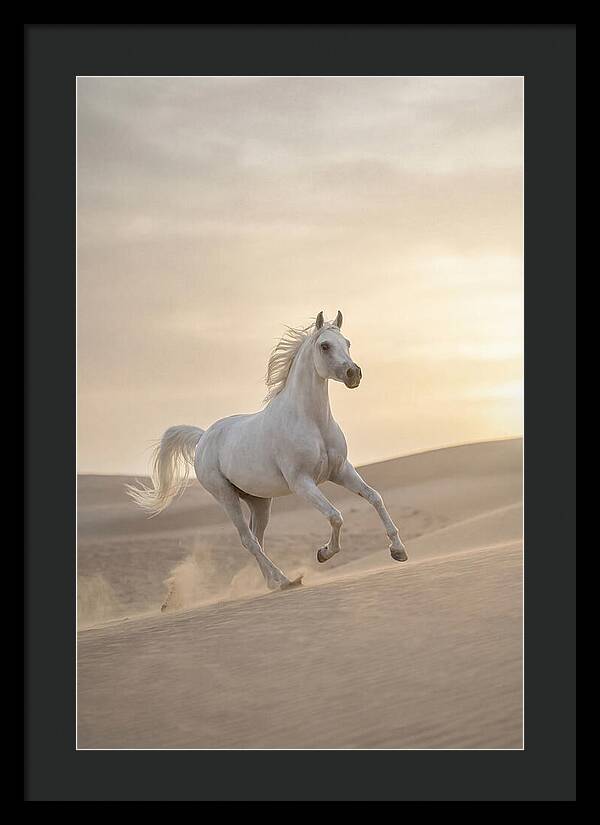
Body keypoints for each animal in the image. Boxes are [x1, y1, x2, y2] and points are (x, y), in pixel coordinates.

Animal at [127, 310, 408, 592]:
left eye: (347, 343)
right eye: (325, 346)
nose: (353, 374)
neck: (312, 421)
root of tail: (203, 437)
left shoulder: (340, 471)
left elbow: (374, 497)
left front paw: (398, 551)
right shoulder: (302, 483)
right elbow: (335, 515)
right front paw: (324, 553)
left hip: (259, 502)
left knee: (257, 538)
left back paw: (274, 582)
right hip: (225, 496)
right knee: (248, 540)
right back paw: (284, 580)